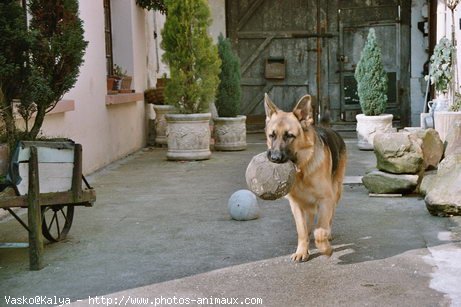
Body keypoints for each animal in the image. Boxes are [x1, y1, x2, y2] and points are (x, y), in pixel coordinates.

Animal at [262, 94, 344, 262]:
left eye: (289, 136)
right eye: (271, 135)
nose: (274, 158)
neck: (302, 170)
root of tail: (327, 128)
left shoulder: (326, 200)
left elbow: (320, 230)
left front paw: (325, 249)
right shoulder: (296, 205)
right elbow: (301, 229)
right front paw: (302, 250)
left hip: (336, 192)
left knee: (329, 219)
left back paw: (327, 235)